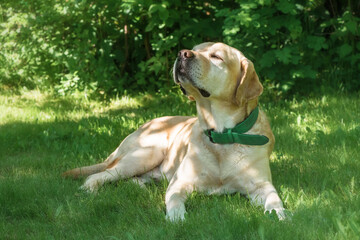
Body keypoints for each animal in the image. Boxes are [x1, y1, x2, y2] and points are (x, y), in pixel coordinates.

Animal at [62, 42, 286, 220]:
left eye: (216, 56)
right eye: (196, 49)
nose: (183, 53)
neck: (222, 134)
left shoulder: (261, 185)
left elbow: (274, 199)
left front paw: (280, 216)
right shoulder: (181, 183)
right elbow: (175, 201)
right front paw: (176, 218)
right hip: (146, 153)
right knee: (98, 175)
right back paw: (89, 192)